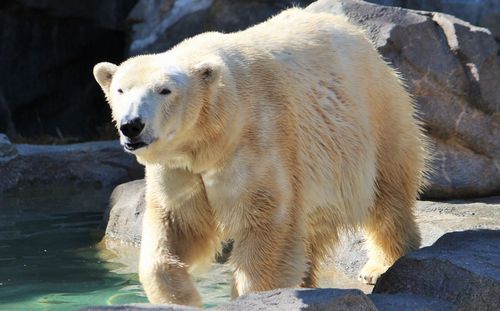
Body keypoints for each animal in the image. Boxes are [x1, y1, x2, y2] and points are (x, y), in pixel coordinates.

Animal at [93, 7, 426, 308]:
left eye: (165, 90)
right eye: (121, 90)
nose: (131, 125)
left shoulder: (258, 139)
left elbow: (265, 221)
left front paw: (254, 296)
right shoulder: (181, 167)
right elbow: (177, 224)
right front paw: (181, 298)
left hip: (375, 115)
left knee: (387, 195)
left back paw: (379, 266)